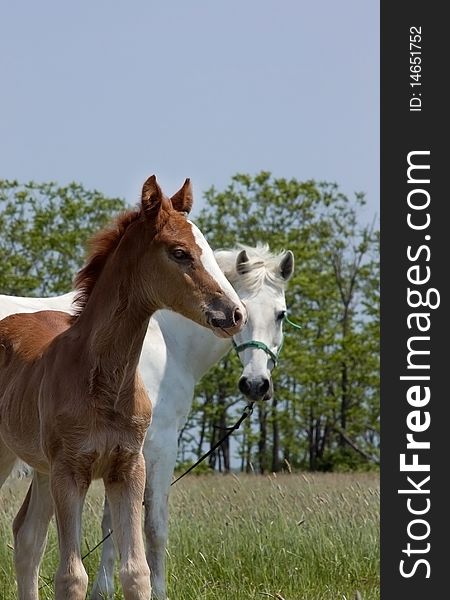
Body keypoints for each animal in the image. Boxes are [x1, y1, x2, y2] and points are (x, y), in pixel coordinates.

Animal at [0, 244, 296, 600]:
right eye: (246, 311)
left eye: (280, 314)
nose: (255, 384)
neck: (164, 337)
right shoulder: (159, 445)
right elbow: (153, 526)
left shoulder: (118, 453)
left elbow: (112, 524)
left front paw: (103, 589)